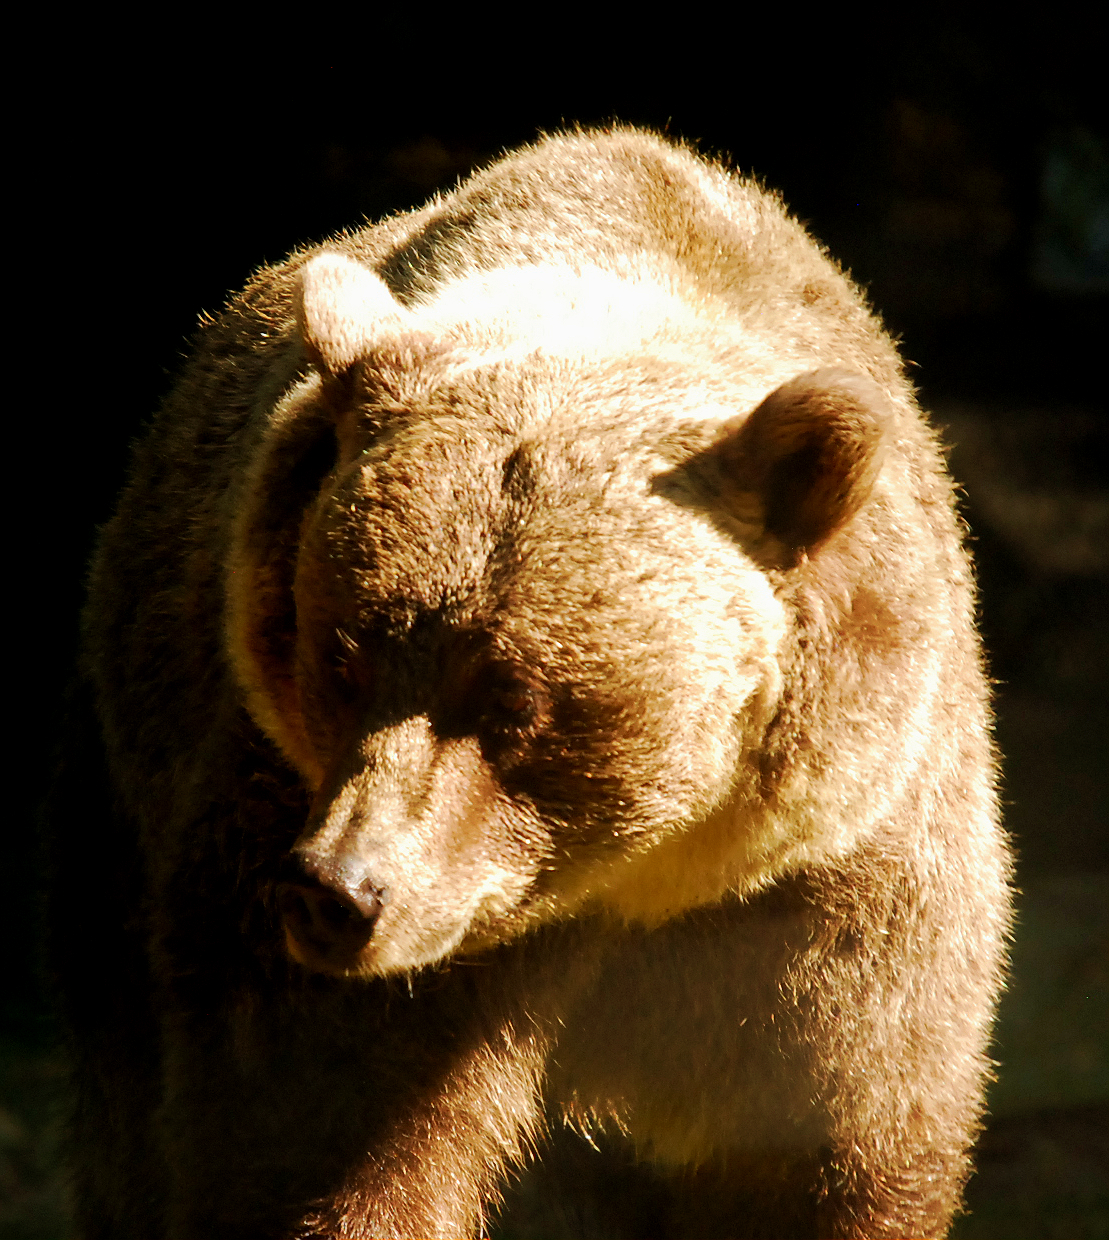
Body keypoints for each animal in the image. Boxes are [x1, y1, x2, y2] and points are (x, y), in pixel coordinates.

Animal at [50, 126, 1011, 1239]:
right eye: (341, 654)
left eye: (508, 695)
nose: (336, 890)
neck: (638, 879)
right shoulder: (330, 883)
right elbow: (317, 1141)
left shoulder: (838, 891)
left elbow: (834, 1149)